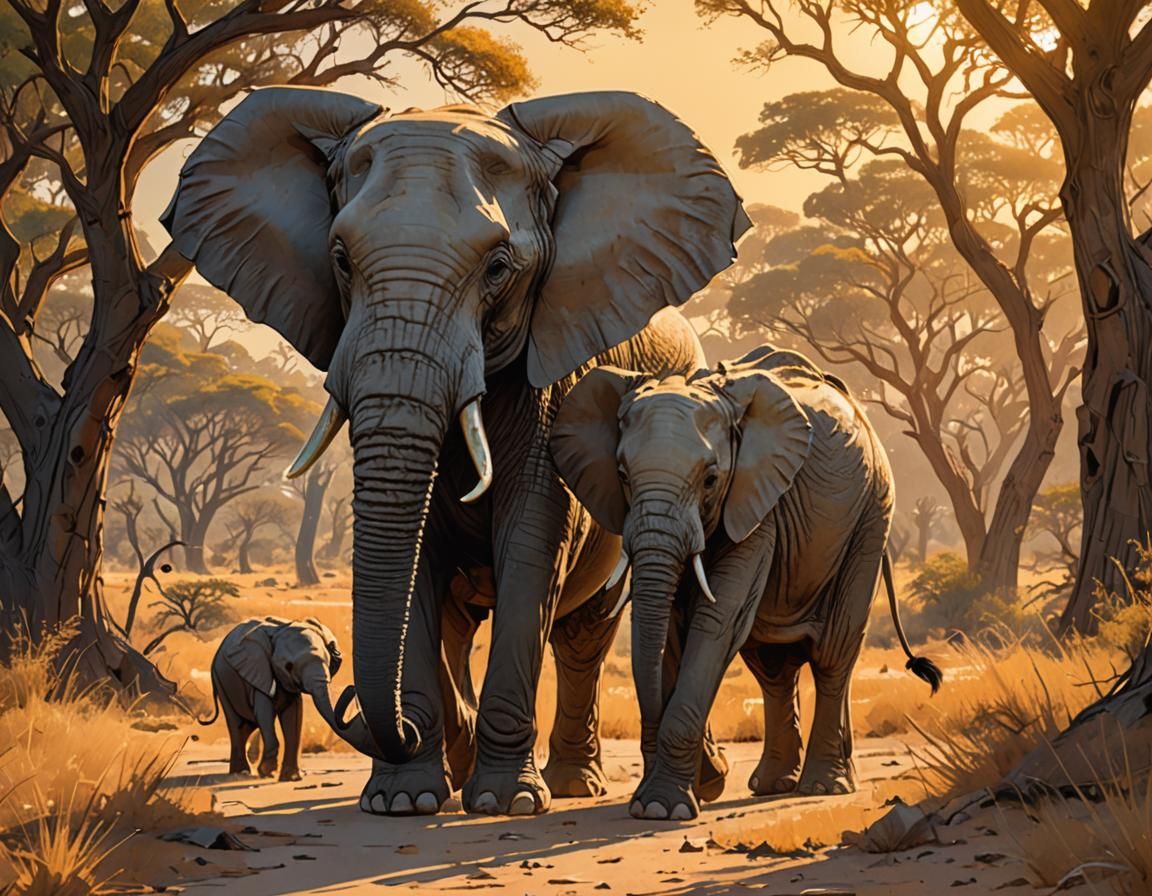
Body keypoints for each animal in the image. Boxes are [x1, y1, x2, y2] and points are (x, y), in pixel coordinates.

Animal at [200, 616, 357, 781]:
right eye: (288, 666)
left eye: (328, 661)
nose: (351, 689)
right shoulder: (259, 671)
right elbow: (264, 712)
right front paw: (267, 772)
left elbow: (294, 715)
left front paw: (292, 777)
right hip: (221, 681)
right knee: (236, 725)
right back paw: (242, 772)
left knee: (247, 727)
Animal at [550, 345, 942, 820]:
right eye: (623, 474)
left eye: (710, 479)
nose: (717, 769)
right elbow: (673, 631)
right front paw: (690, 788)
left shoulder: (758, 504)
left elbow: (717, 620)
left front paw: (663, 808)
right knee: (772, 666)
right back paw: (772, 785)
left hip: (872, 516)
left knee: (834, 652)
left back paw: (823, 786)